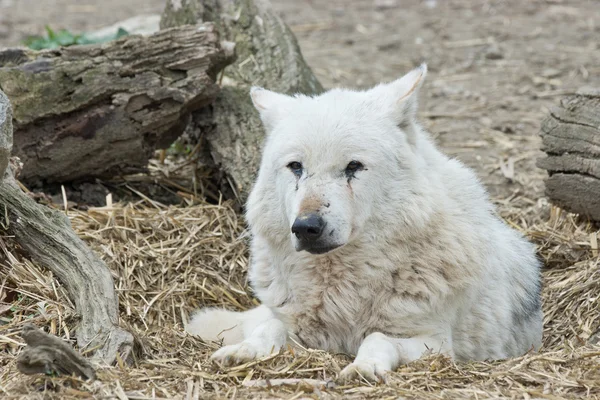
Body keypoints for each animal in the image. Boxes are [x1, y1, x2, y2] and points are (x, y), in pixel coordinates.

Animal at [188, 64, 544, 382]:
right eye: (296, 167)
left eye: (354, 166)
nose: (306, 227)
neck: (344, 287)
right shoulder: (301, 328)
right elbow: (270, 327)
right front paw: (243, 351)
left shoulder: (436, 342)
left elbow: (377, 338)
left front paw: (364, 367)